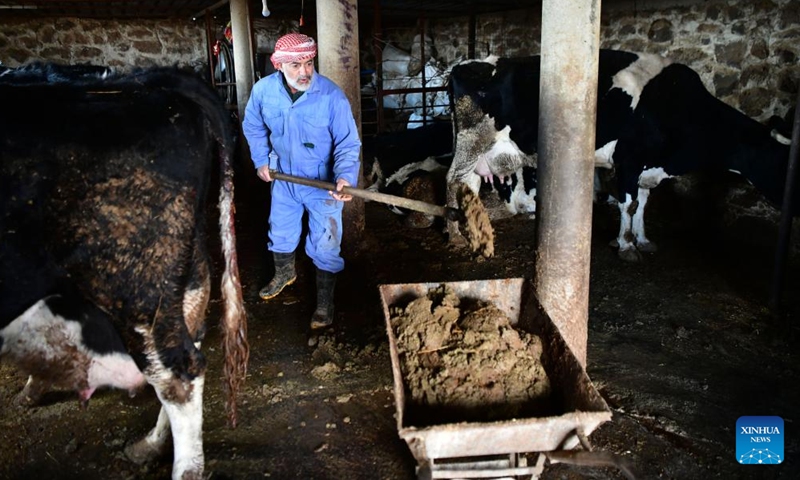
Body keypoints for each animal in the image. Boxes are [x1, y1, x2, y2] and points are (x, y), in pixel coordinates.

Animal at [0, 63, 248, 480]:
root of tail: (151, 82)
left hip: (133, 280)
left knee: (177, 373)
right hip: (183, 273)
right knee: (190, 341)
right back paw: (149, 445)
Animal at [446, 50, 792, 260]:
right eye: (783, 164)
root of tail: (469, 64)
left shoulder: (647, 167)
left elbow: (643, 203)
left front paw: (642, 239)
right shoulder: (628, 159)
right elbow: (630, 203)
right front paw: (625, 244)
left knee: (469, 186)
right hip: (471, 142)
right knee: (454, 182)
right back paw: (457, 236)